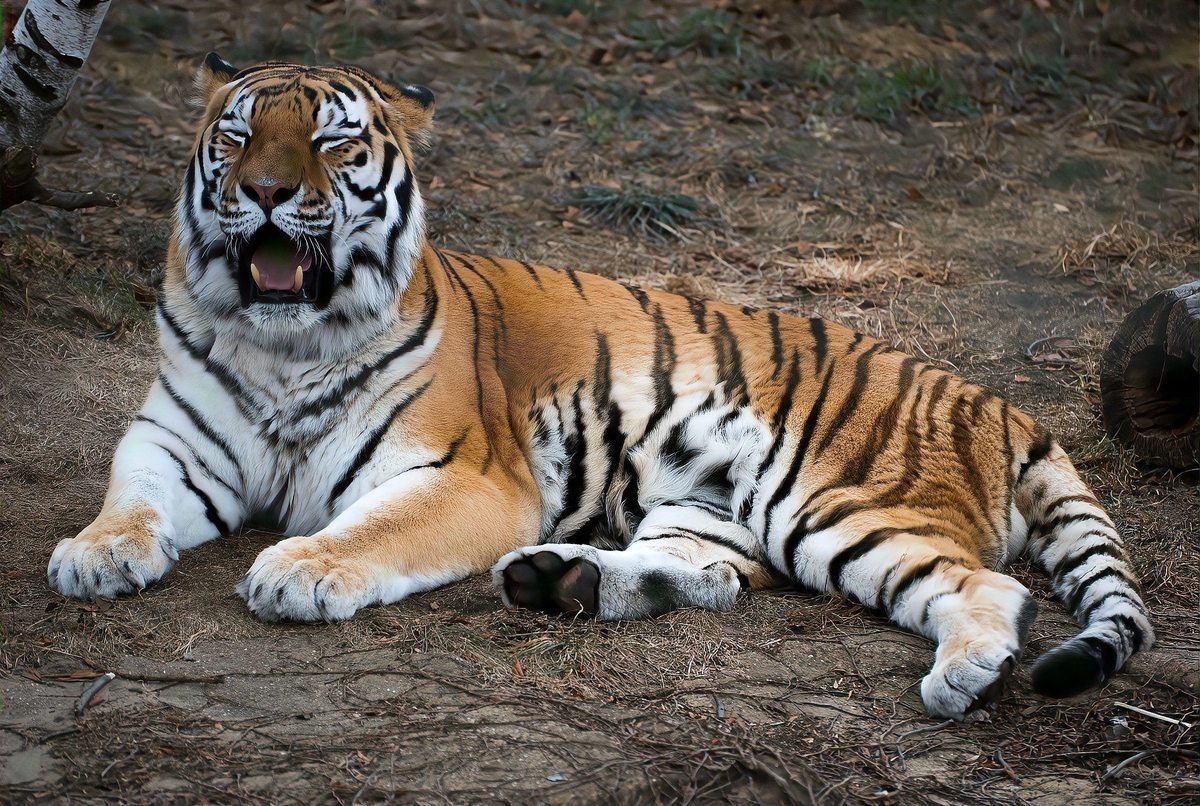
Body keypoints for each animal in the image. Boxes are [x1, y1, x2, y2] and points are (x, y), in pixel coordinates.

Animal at [47, 54, 1153, 720]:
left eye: (330, 142)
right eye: (237, 137)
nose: (268, 192)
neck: (284, 342)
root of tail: (995, 400)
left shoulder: (465, 476)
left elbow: (368, 529)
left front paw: (300, 570)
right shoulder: (173, 441)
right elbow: (129, 498)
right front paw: (92, 558)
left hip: (832, 503)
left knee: (992, 586)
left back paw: (965, 673)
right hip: (713, 506)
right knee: (712, 578)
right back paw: (560, 582)